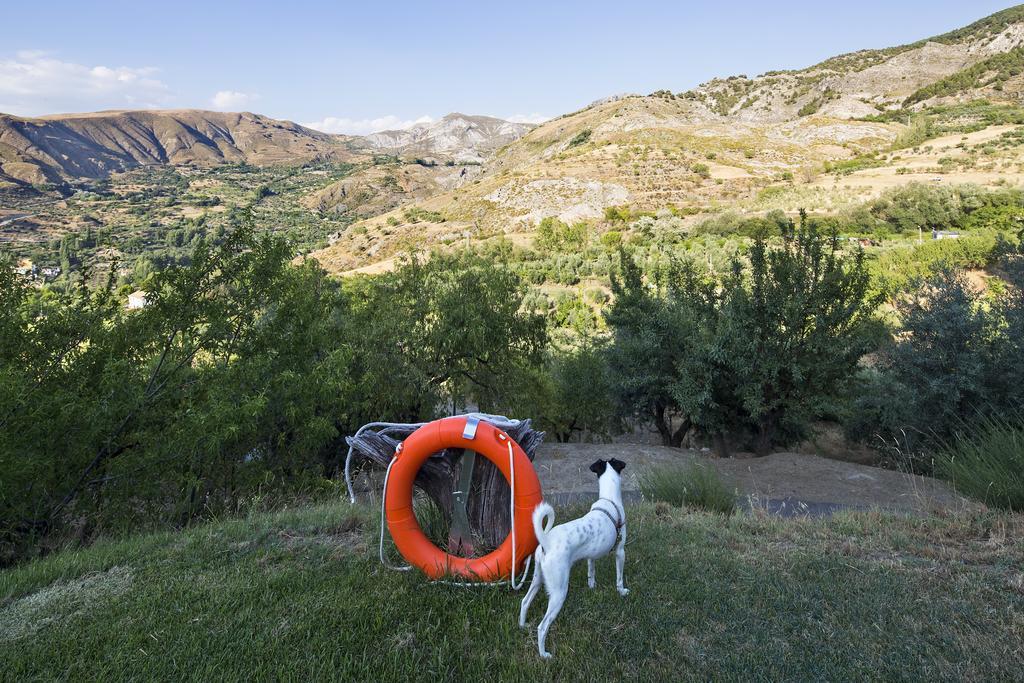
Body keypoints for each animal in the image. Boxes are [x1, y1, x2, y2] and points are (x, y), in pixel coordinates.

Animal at [516, 458, 626, 655]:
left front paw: (592, 587)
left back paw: (522, 625)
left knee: (524, 601)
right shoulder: (620, 551)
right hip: (559, 591)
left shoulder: (591, 555)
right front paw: (622, 592)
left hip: (538, 578)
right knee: (542, 627)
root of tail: (546, 542)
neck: (609, 500)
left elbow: (591, 571)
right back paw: (544, 654)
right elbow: (619, 578)